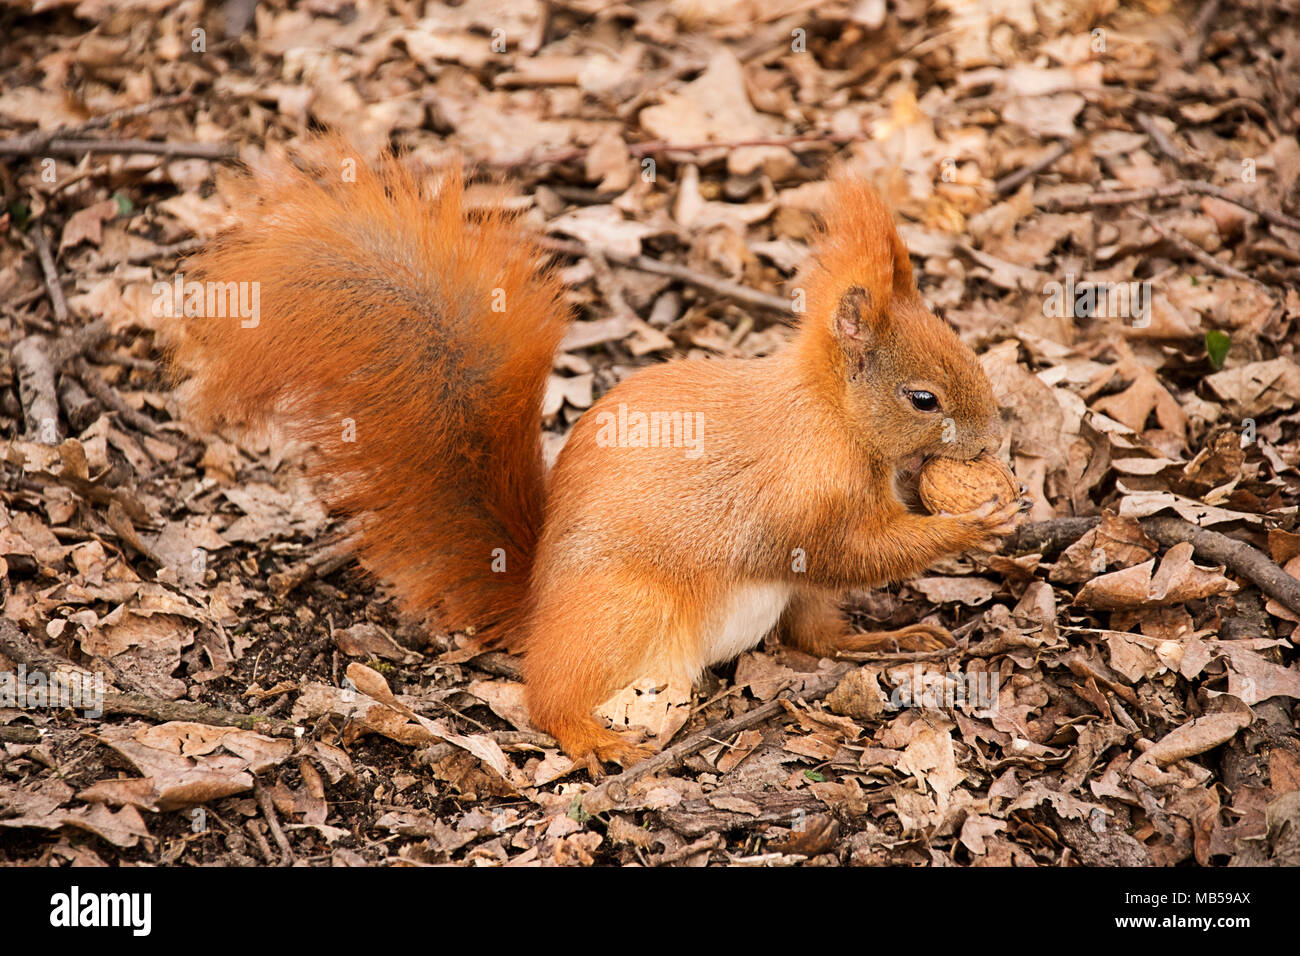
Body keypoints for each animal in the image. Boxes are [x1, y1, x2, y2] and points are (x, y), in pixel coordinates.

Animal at [171, 137, 1027, 771]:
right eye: (924, 399)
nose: (994, 439)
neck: (830, 420)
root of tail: (537, 604)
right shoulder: (798, 500)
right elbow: (851, 550)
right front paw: (972, 524)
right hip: (624, 606)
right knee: (548, 697)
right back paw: (589, 737)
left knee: (814, 636)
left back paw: (882, 641)